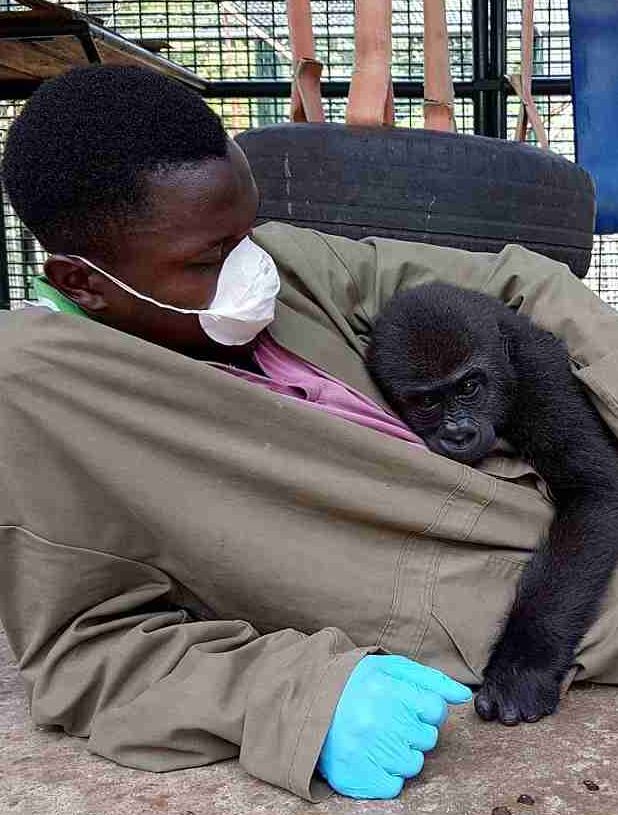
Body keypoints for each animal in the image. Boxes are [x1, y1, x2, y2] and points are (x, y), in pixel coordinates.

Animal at [366, 282, 618, 728]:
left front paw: (522, 664)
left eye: (469, 387)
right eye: (427, 401)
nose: (460, 434)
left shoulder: (540, 377)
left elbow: (594, 490)